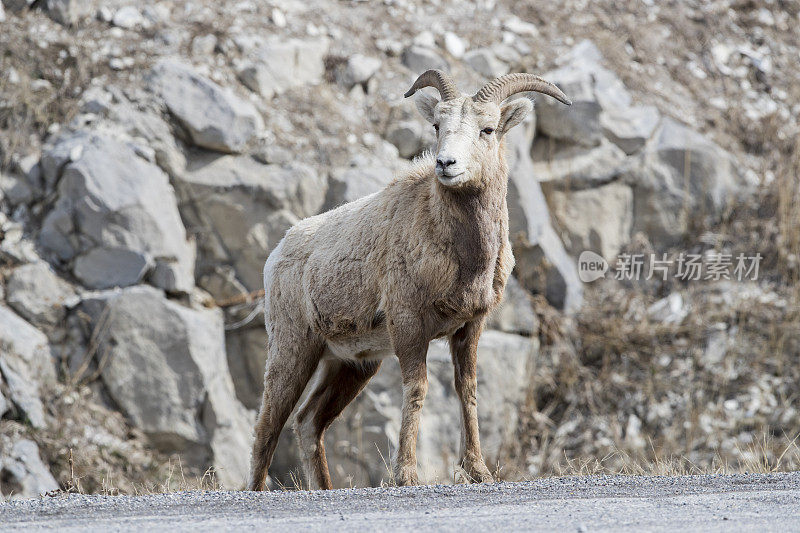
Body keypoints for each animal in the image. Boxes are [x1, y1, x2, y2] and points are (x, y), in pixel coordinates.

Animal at [250, 68, 568, 488]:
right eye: (437, 126)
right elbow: (417, 390)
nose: (446, 163)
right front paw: (406, 475)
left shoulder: (469, 328)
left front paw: (479, 471)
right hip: (293, 350)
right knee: (267, 427)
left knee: (308, 422)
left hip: (352, 366)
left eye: (487, 129)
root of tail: (277, 255)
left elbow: (467, 390)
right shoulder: (408, 325)